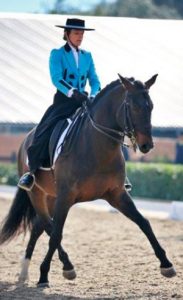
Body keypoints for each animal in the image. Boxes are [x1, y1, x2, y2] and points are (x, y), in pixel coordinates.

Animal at [0, 74, 176, 286]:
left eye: (150, 106)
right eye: (133, 106)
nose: (146, 145)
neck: (96, 146)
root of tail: (27, 138)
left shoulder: (117, 194)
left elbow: (144, 223)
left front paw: (166, 264)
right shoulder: (66, 196)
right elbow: (56, 234)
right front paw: (45, 275)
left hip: (51, 197)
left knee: (38, 226)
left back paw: (25, 272)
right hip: (37, 194)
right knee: (48, 226)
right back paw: (61, 267)